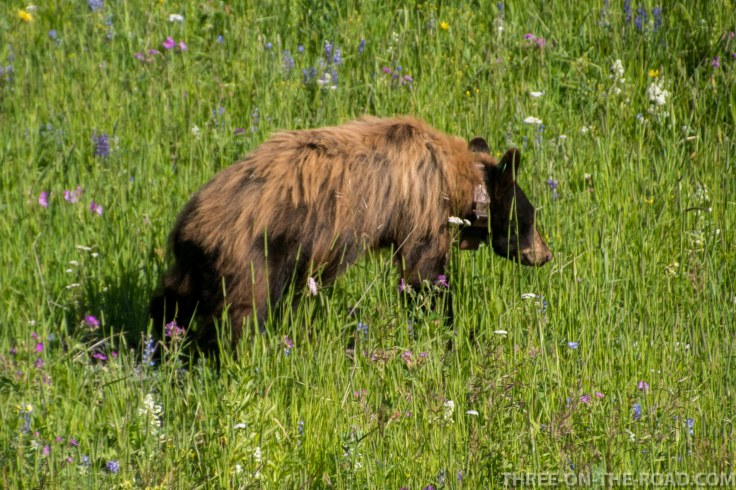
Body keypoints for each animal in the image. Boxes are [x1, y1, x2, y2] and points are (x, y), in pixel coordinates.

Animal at [150, 116, 552, 350]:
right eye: (530, 219)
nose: (545, 255)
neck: (456, 178)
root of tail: (189, 226)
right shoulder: (421, 208)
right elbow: (424, 276)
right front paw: (447, 330)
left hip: (195, 265)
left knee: (171, 301)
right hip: (251, 254)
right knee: (243, 314)